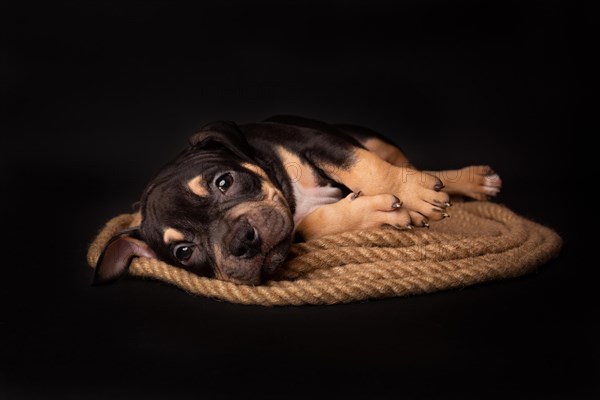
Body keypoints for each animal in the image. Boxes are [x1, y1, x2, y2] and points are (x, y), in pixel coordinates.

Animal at [95, 115, 502, 284]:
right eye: (183, 252)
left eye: (224, 182)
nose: (242, 242)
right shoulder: (298, 219)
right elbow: (309, 223)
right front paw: (378, 212)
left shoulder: (316, 141)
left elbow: (365, 167)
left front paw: (413, 194)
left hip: (369, 139)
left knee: (403, 164)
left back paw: (465, 181)